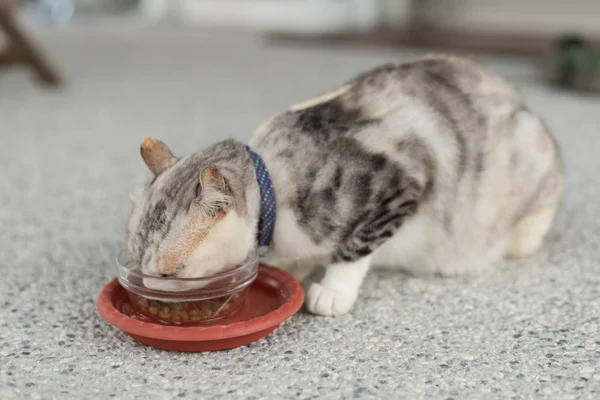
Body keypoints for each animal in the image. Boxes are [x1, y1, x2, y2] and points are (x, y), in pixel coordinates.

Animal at [125, 54, 564, 316]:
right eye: (137, 260)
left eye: (170, 273)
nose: (148, 288)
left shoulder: (400, 184)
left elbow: (355, 246)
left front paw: (333, 290)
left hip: (529, 171)